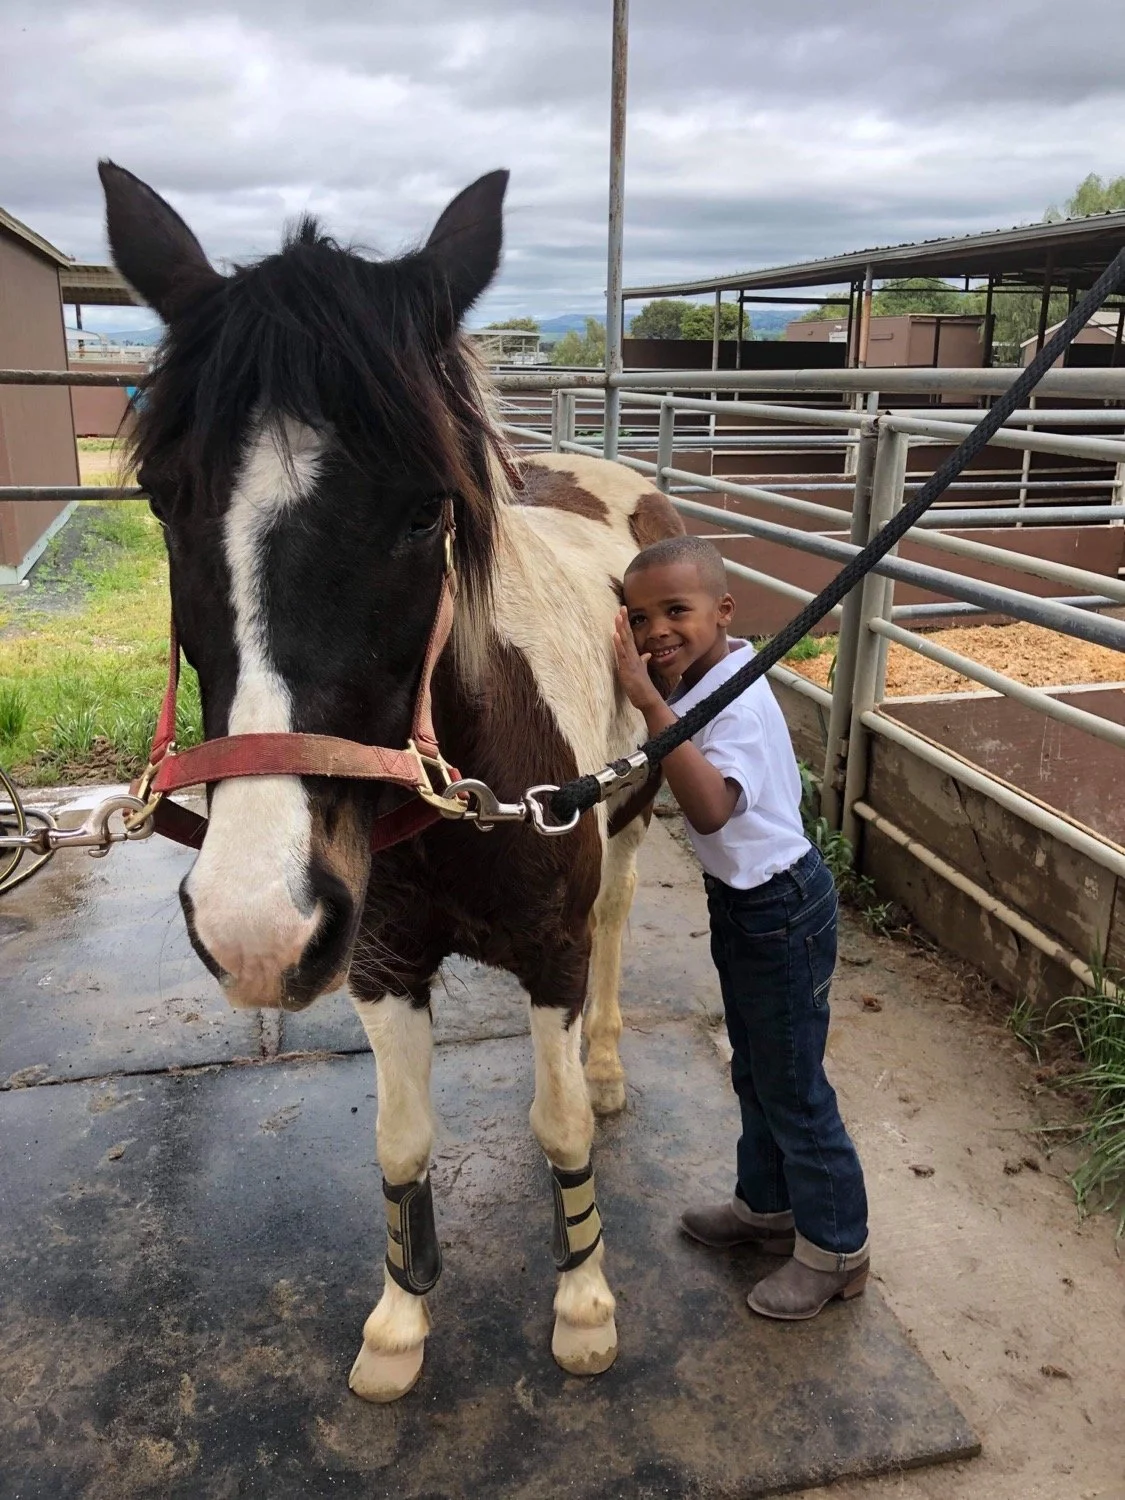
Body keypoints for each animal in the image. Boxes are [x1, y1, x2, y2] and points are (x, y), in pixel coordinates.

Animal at [98, 160, 683, 1403]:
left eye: (426, 511)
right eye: (166, 501)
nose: (257, 924)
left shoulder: (552, 954)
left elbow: (560, 1126)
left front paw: (584, 1307)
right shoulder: (378, 966)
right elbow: (401, 1141)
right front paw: (401, 1319)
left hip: (632, 813)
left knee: (615, 929)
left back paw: (608, 1066)